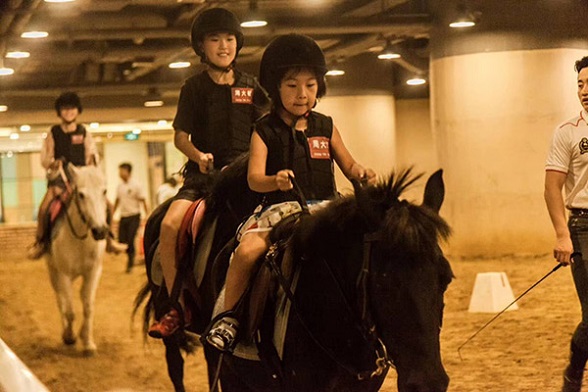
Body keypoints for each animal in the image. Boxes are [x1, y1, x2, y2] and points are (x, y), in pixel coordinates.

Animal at [44, 162, 108, 356]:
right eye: (81, 194)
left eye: (104, 191)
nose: (100, 231)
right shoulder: (64, 274)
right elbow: (70, 310)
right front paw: (70, 337)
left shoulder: (93, 272)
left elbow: (88, 306)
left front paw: (87, 342)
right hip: (53, 272)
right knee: (61, 302)